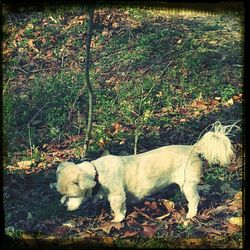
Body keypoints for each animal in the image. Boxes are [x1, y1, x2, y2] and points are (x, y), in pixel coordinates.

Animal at [55, 122, 236, 222]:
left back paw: (191, 214)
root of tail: (193, 148)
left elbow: (116, 208)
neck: (97, 172)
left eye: (72, 196)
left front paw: (117, 219)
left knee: (195, 199)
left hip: (188, 184)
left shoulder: (116, 195)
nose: (64, 207)